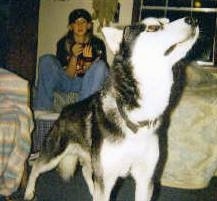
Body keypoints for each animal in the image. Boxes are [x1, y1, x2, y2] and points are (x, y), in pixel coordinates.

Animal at [24, 16, 199, 201]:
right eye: (153, 27)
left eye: (166, 21)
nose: (192, 19)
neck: (135, 118)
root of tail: (65, 110)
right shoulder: (107, 177)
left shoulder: (145, 179)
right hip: (54, 155)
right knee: (36, 167)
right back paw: (29, 192)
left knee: (86, 171)